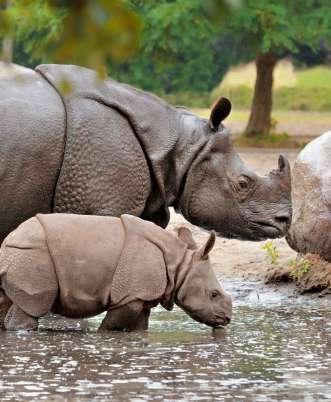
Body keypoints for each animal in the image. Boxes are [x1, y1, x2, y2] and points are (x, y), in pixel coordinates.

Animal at [0, 214, 233, 330]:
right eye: (213, 294)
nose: (227, 319)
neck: (179, 265)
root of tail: (7, 242)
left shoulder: (142, 294)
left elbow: (139, 328)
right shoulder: (130, 296)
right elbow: (112, 326)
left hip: (24, 253)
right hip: (32, 254)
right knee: (32, 306)